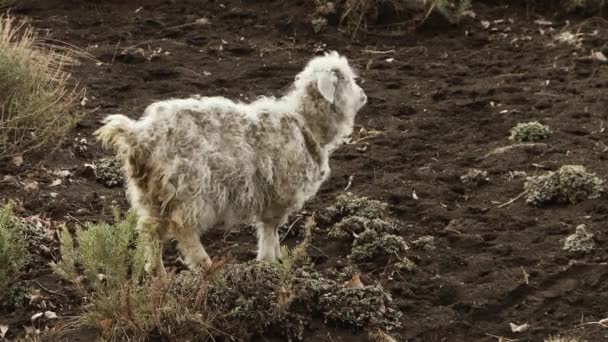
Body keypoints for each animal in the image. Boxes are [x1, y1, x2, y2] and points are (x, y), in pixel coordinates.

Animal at [94, 50, 366, 276]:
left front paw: (275, 258)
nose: (364, 96)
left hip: (151, 194)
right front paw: (268, 261)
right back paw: (205, 265)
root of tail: (139, 136)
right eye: (348, 81)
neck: (304, 122)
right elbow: (270, 228)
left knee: (151, 230)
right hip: (189, 186)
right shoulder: (277, 194)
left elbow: (270, 228)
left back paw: (157, 271)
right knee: (183, 228)